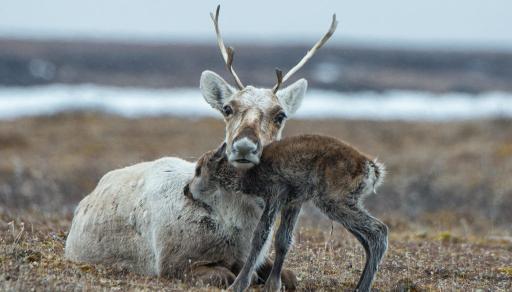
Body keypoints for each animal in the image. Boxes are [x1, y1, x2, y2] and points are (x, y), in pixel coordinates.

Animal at [189, 135, 388, 292]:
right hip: (341, 204)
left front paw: (238, 285)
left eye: (198, 170)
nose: (186, 190)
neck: (246, 173)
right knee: (367, 240)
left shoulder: (276, 195)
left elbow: (260, 237)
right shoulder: (293, 202)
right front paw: (273, 285)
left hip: (334, 202)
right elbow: (282, 240)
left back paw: (363, 287)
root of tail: (372, 168)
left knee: (379, 230)